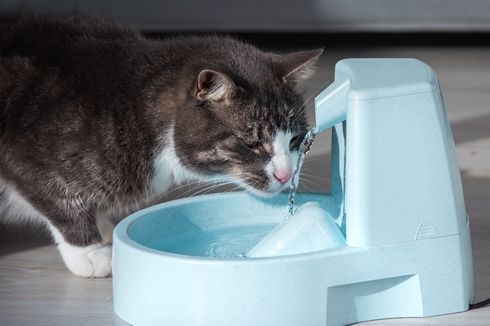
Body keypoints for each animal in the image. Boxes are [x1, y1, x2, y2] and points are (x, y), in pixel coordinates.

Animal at [0, 14, 322, 276]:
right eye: (250, 142)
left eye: (295, 139)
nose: (285, 175)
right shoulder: (28, 156)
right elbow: (60, 200)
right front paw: (90, 253)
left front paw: (102, 225)